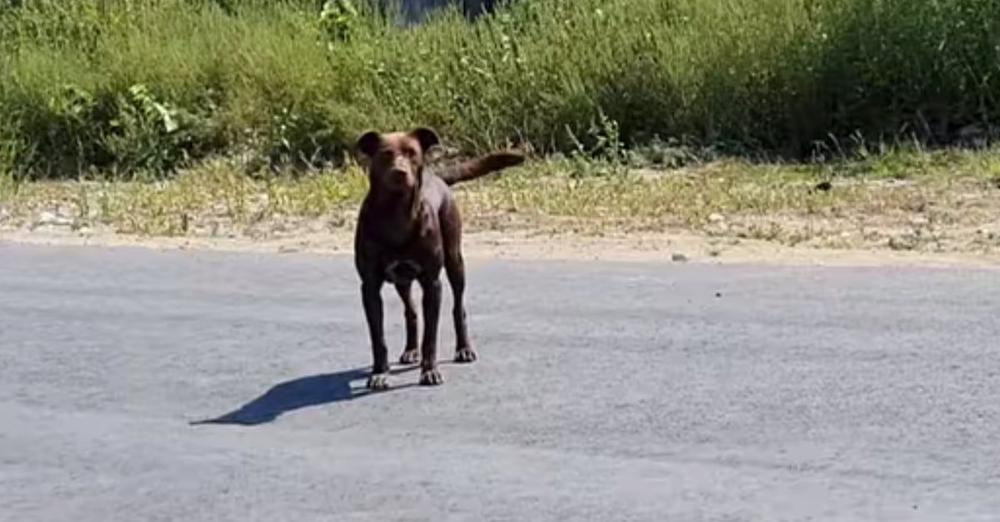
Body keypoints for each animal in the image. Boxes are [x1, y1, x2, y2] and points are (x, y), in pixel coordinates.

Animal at [354, 127, 524, 386]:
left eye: (412, 153)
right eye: (385, 154)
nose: (400, 172)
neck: (396, 212)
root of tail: (437, 176)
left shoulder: (432, 284)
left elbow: (430, 337)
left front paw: (429, 371)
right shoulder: (370, 287)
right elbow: (378, 338)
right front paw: (380, 373)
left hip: (455, 262)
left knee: (458, 308)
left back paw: (464, 349)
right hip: (402, 279)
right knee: (411, 312)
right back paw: (410, 350)